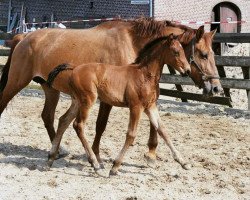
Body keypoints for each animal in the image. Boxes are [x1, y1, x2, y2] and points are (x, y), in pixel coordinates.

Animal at [47, 34, 191, 175]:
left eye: (183, 51)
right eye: (176, 52)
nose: (188, 70)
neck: (144, 75)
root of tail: (75, 67)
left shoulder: (150, 107)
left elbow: (163, 130)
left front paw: (183, 162)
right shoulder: (136, 107)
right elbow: (131, 134)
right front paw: (115, 166)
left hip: (77, 101)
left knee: (63, 120)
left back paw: (50, 159)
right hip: (88, 101)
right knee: (78, 125)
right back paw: (95, 164)